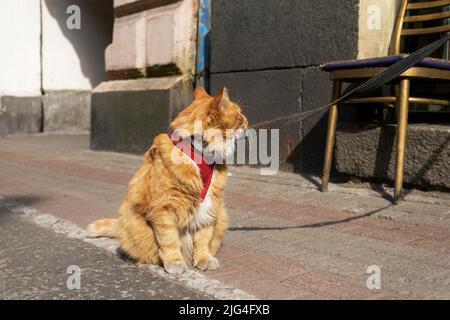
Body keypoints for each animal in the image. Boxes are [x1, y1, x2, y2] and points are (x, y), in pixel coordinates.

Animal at [87, 87, 250, 276]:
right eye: (239, 115)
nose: (247, 121)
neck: (200, 153)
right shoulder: (164, 209)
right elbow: (169, 240)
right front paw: (175, 262)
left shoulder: (210, 208)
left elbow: (203, 239)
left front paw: (203, 259)